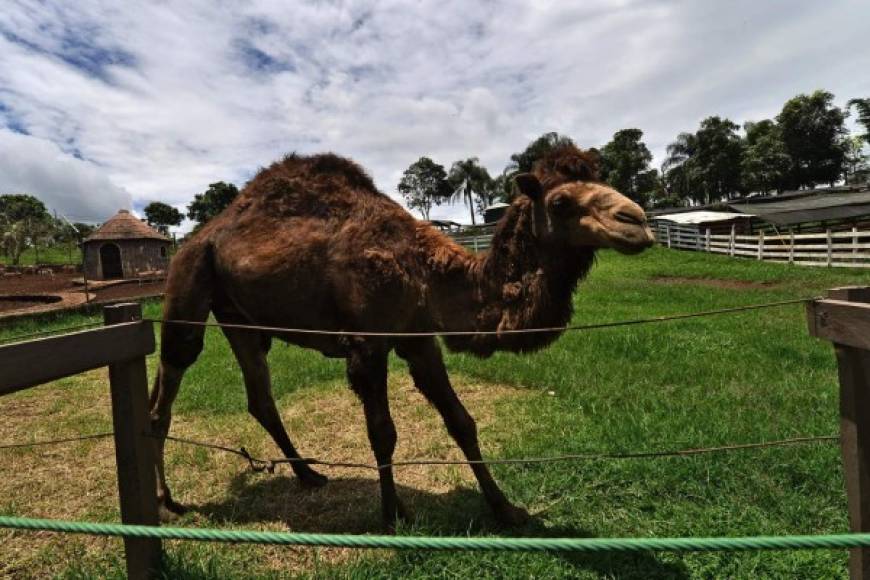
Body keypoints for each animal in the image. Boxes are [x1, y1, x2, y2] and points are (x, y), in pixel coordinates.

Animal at [152, 144, 656, 524]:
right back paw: (168, 500)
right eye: (560, 202)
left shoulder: (419, 339)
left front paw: (504, 507)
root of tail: (200, 235)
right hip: (188, 284)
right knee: (169, 385)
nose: (637, 221)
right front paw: (393, 512)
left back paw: (309, 475)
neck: (425, 272)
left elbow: (461, 421)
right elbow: (382, 432)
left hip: (239, 316)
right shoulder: (368, 345)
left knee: (259, 396)